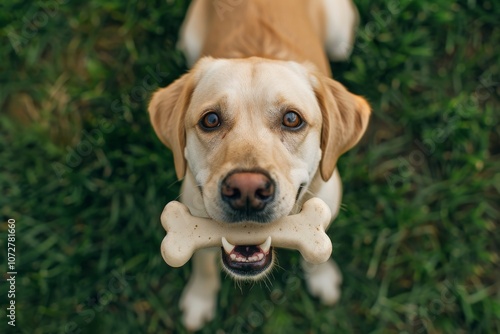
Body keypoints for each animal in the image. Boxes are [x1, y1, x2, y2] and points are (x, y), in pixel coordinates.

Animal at [148, 0, 372, 328]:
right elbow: (203, 262)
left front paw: (322, 279)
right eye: (210, 120)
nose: (247, 191)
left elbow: (318, 252)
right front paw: (200, 298)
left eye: (292, 119)